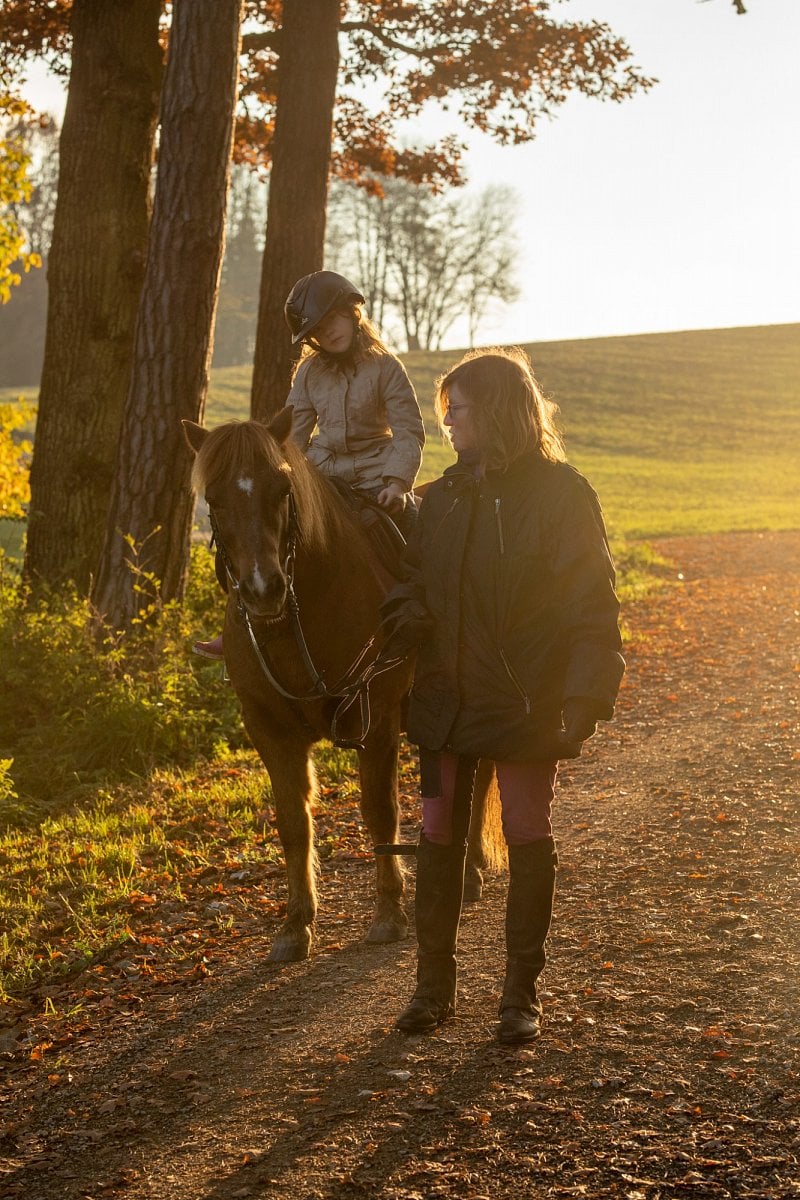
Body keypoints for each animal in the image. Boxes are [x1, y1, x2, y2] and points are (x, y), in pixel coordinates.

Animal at [184, 412, 503, 964]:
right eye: (215, 499)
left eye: (282, 489)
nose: (263, 589)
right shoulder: (269, 731)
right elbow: (293, 823)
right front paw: (295, 925)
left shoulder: (376, 719)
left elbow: (379, 813)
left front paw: (390, 912)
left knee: (479, 777)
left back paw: (470, 872)